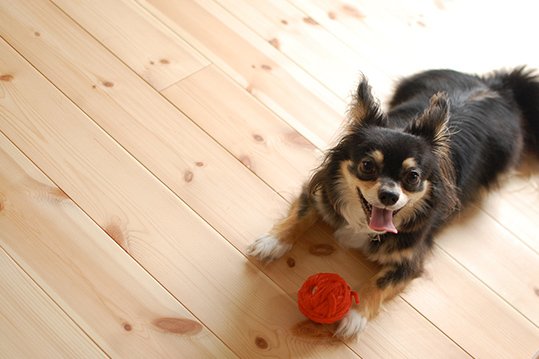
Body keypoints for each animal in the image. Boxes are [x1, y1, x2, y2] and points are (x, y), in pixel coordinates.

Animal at [248, 67, 539, 340]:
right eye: (367, 166)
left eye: (413, 177)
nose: (390, 195)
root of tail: (498, 85)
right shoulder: (319, 194)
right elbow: (300, 216)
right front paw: (272, 242)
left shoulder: (409, 262)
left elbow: (380, 282)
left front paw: (356, 316)